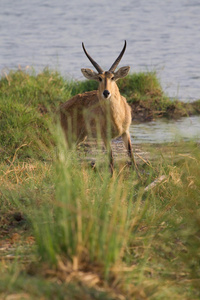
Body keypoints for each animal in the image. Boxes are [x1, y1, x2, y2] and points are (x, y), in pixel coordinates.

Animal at [60, 40, 136, 171]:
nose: (106, 92)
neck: (117, 118)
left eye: (113, 77)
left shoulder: (126, 132)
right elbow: (111, 160)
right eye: (99, 78)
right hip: (71, 136)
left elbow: (132, 157)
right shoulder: (106, 137)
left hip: (79, 138)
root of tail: (62, 107)